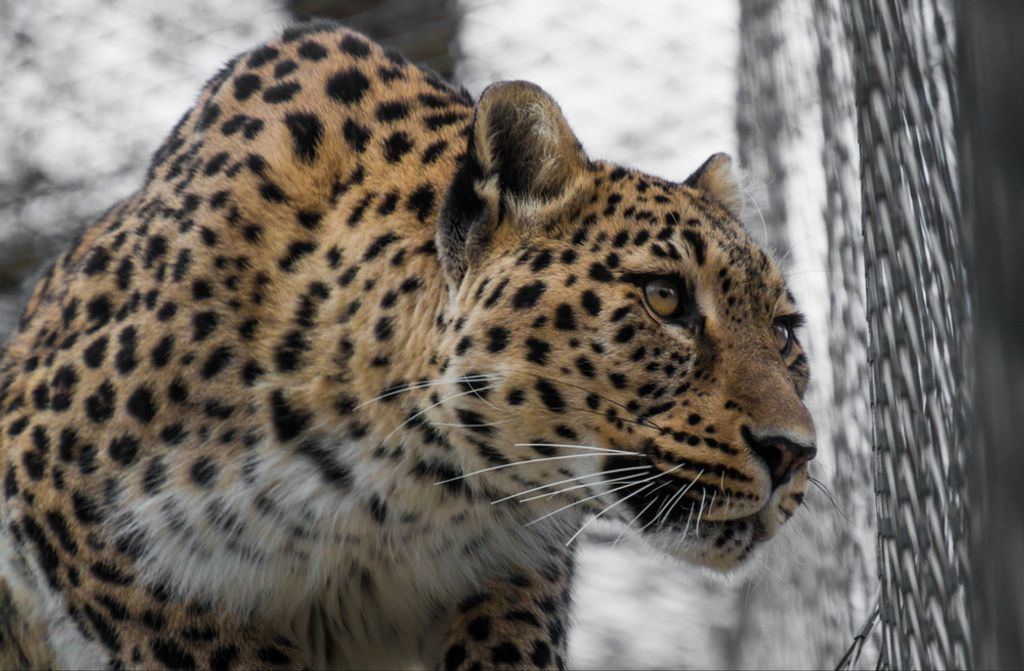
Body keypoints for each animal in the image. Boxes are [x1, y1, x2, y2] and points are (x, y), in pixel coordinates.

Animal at [0, 20, 816, 670]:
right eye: (664, 297)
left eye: (783, 332)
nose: (792, 453)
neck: (403, 492)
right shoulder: (66, 510)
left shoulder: (517, 570)